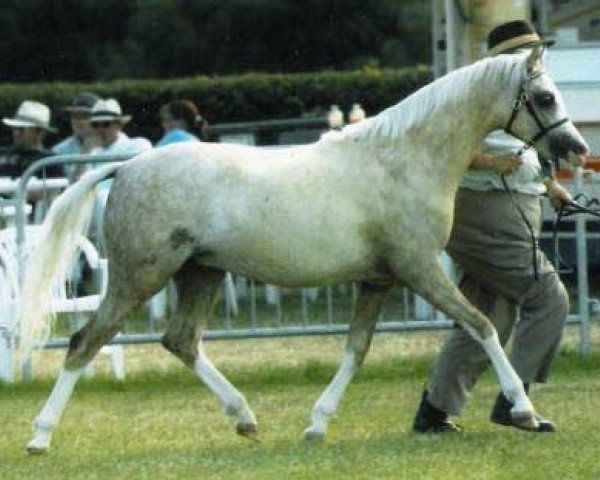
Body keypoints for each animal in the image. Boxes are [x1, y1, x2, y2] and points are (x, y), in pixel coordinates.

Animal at [21, 47, 588, 454]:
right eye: (544, 97)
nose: (577, 150)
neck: (402, 160)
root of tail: (126, 168)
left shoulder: (378, 280)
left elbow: (356, 350)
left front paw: (316, 425)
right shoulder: (419, 269)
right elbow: (482, 325)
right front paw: (524, 410)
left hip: (200, 274)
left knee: (180, 341)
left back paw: (246, 420)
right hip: (140, 276)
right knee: (85, 342)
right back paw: (40, 436)